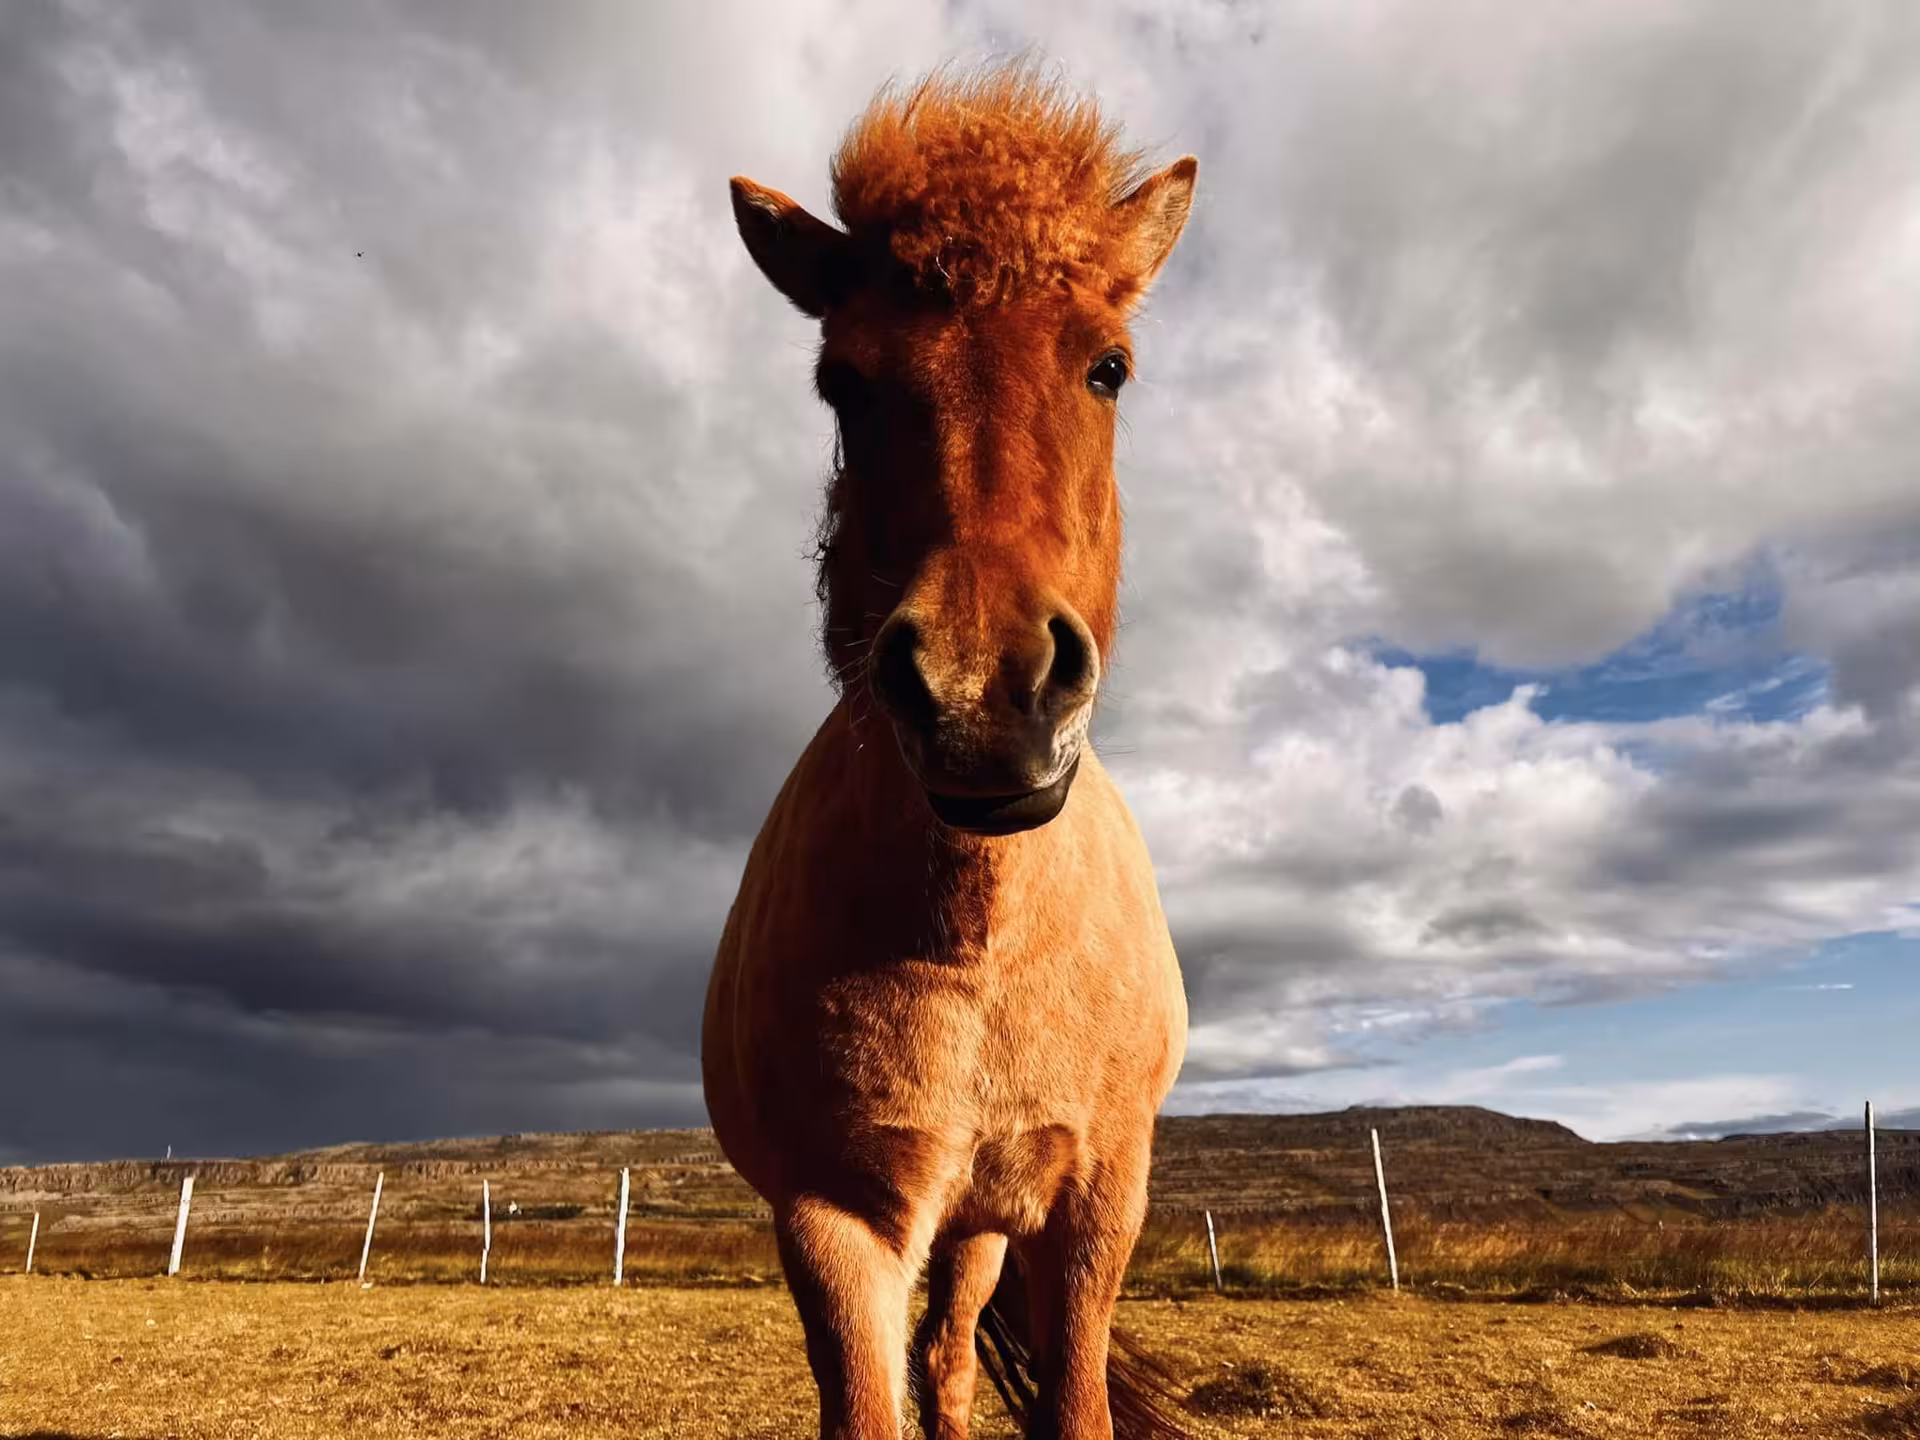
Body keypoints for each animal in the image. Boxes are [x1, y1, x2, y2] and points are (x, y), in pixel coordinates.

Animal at [703, 65, 1197, 1440]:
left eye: (1108, 368)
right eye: (844, 382)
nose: (987, 694)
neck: (981, 944)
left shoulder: (1097, 1203)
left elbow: (1072, 1406)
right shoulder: (837, 1220)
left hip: (985, 1224)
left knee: (956, 1359)